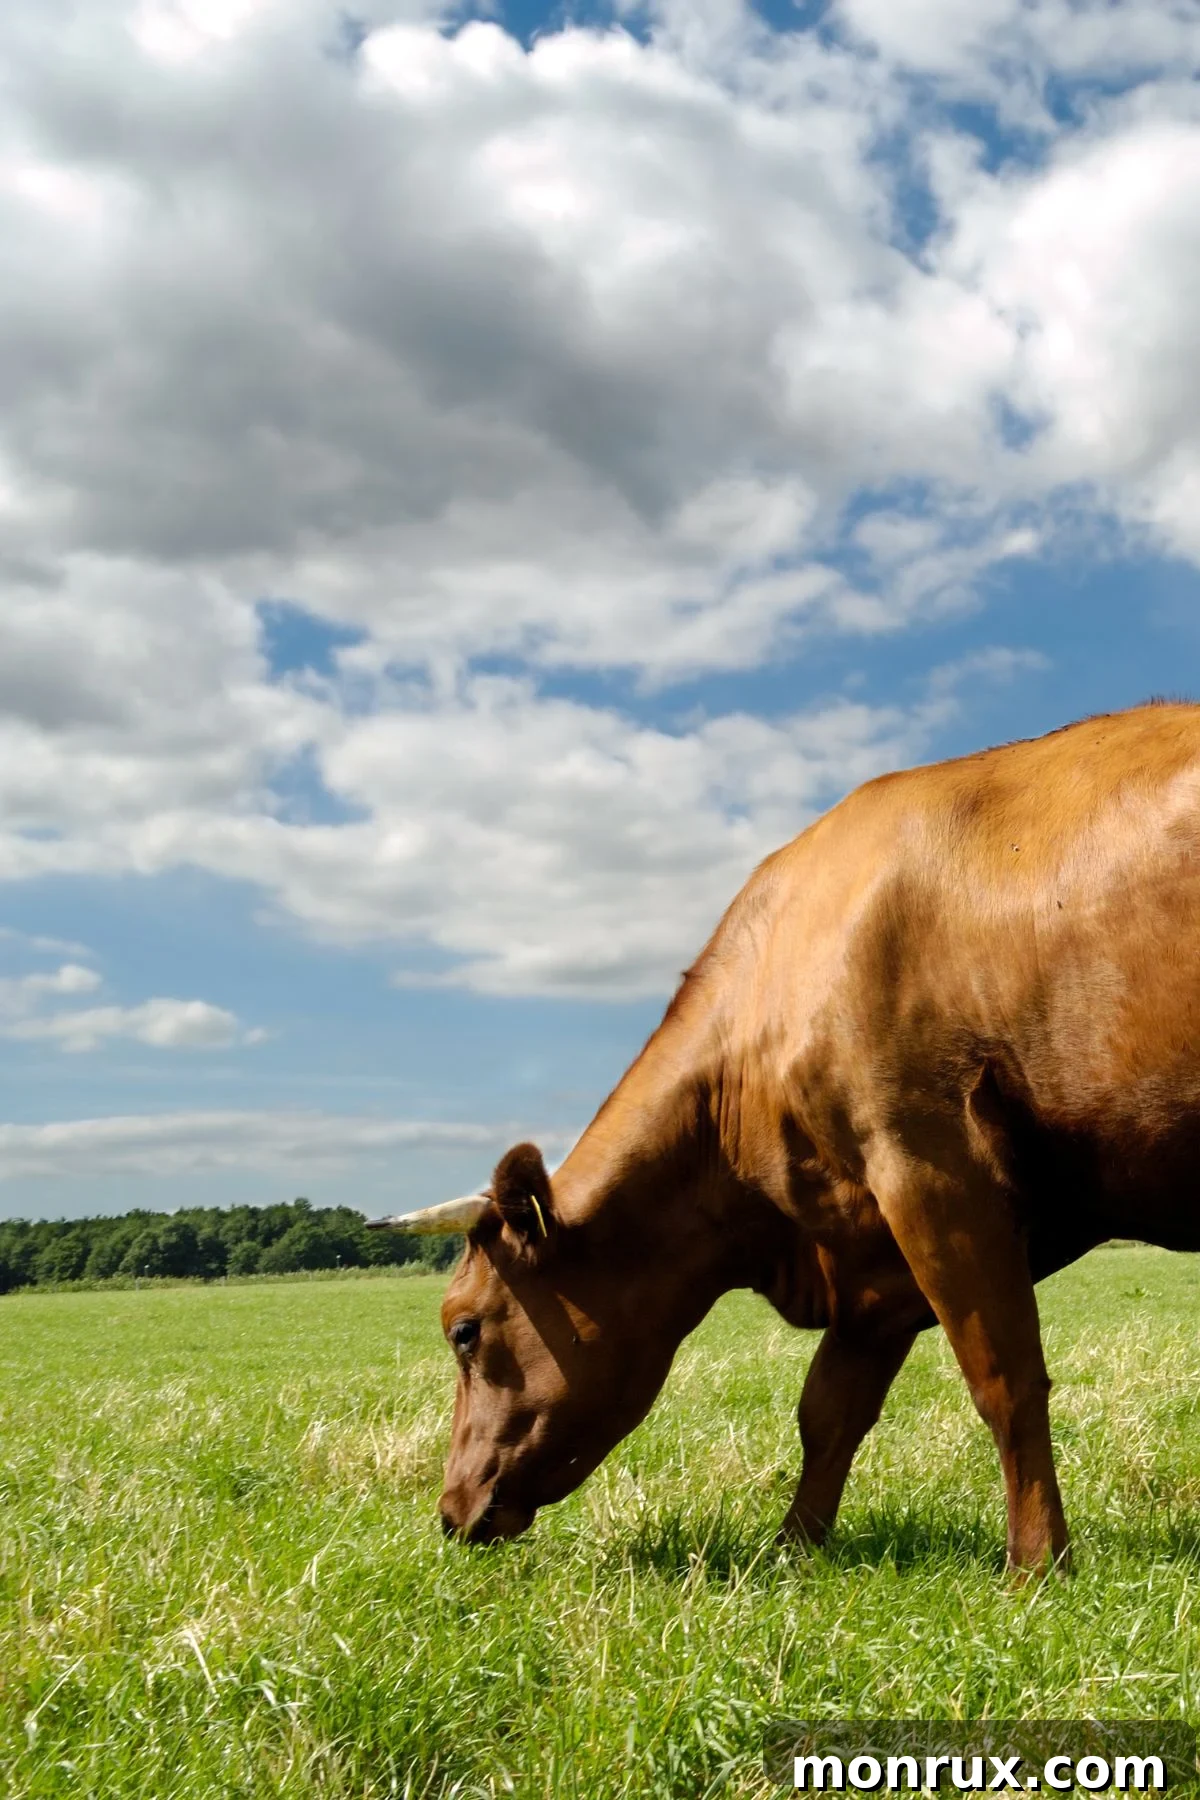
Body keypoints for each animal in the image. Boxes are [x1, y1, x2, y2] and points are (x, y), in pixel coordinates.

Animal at [374, 701, 1200, 1574]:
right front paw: (794, 1549)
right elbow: (829, 1410)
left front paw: (1037, 1564)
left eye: (464, 1328)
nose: (451, 1512)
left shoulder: (930, 1170)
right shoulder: (871, 1261)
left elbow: (1005, 1382)